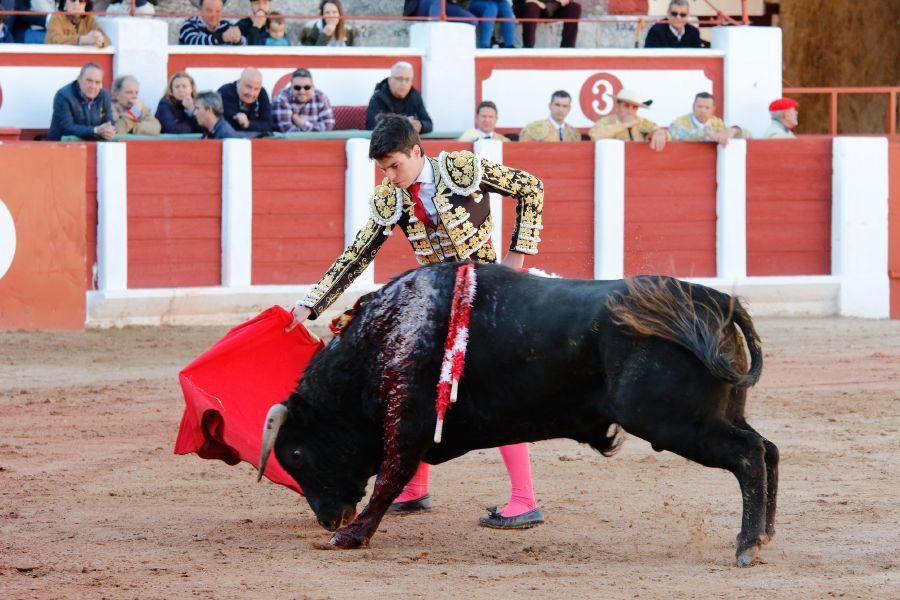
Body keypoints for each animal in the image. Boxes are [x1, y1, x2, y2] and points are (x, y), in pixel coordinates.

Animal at [256, 262, 776, 568]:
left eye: (295, 454)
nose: (328, 521)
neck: (387, 333)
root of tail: (716, 301)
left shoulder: (407, 424)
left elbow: (389, 477)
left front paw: (353, 537)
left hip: (672, 421)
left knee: (748, 454)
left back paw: (747, 544)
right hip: (714, 413)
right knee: (766, 449)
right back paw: (765, 534)